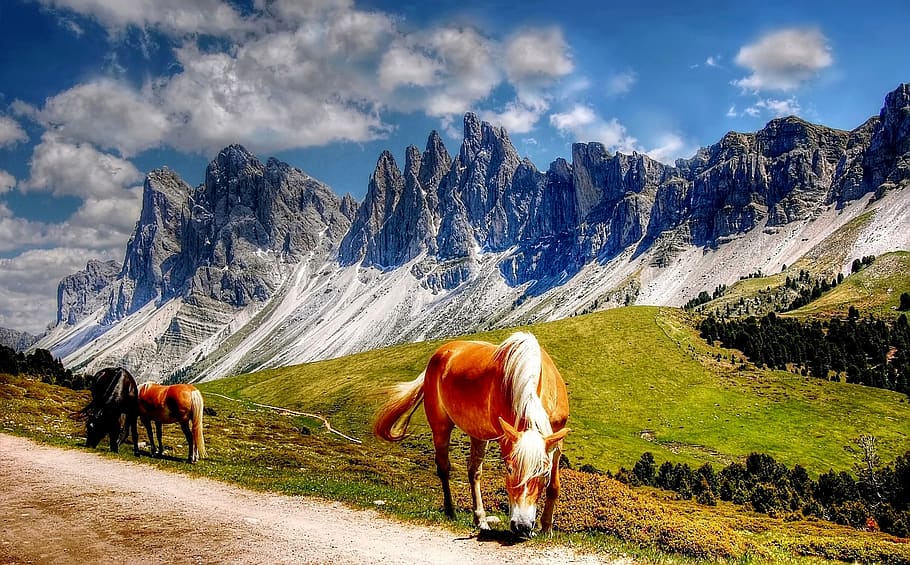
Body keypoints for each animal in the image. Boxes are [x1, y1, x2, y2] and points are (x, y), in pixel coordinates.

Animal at [374, 332, 570, 539]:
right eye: (509, 469)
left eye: (543, 473)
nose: (521, 526)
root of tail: (440, 353)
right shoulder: (505, 439)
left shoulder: (557, 442)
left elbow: (554, 486)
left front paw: (546, 528)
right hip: (440, 426)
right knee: (444, 467)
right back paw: (451, 511)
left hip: (478, 434)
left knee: (473, 471)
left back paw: (480, 519)